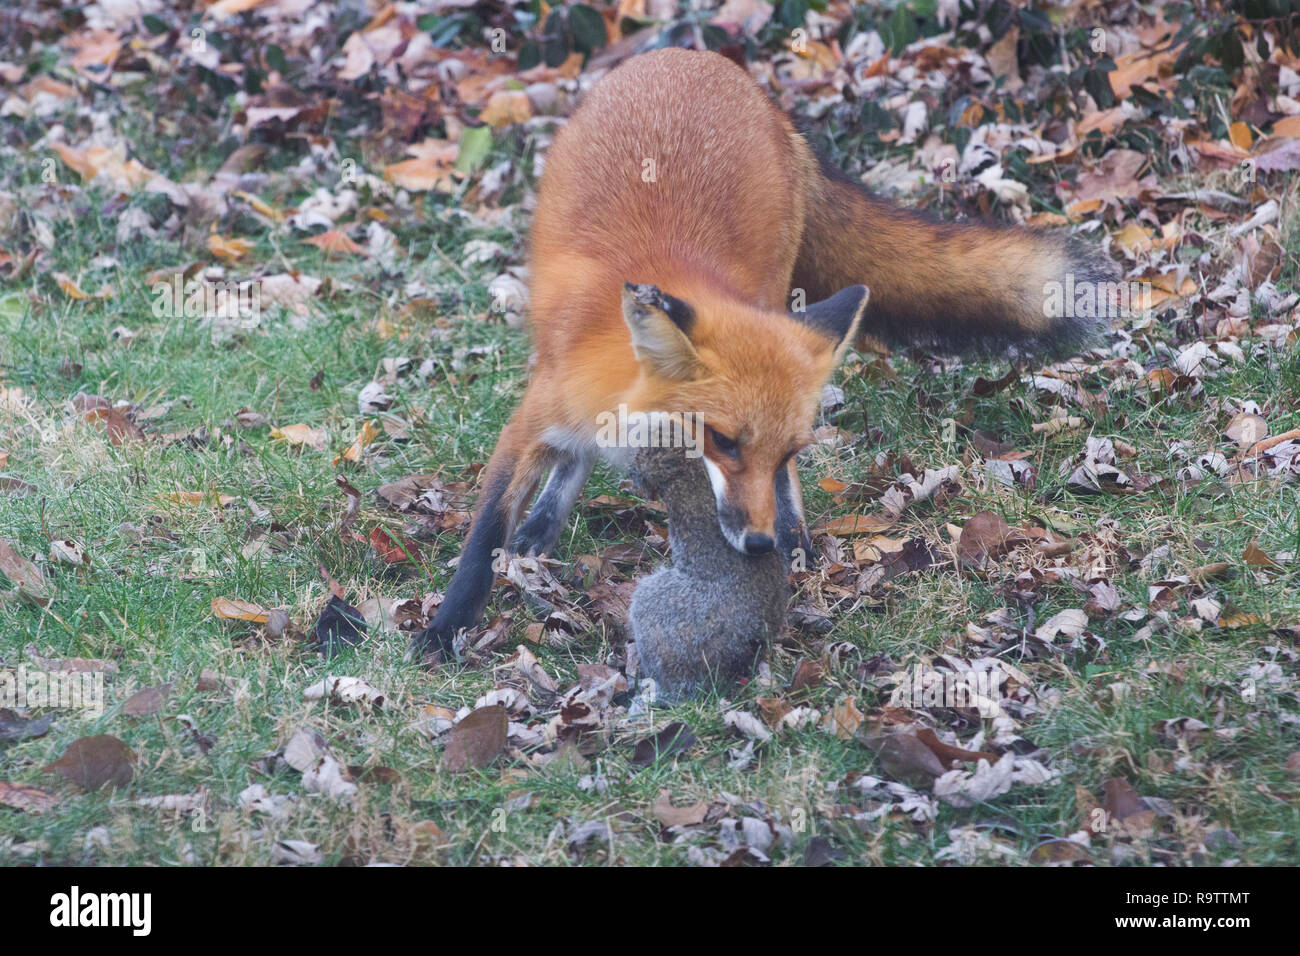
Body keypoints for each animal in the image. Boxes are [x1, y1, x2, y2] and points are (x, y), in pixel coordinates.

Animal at [409, 47, 1112, 657]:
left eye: (787, 452)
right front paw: (446, 629)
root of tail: (699, 60)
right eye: (722, 441)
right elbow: (484, 537)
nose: (757, 543)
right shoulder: (534, 416)